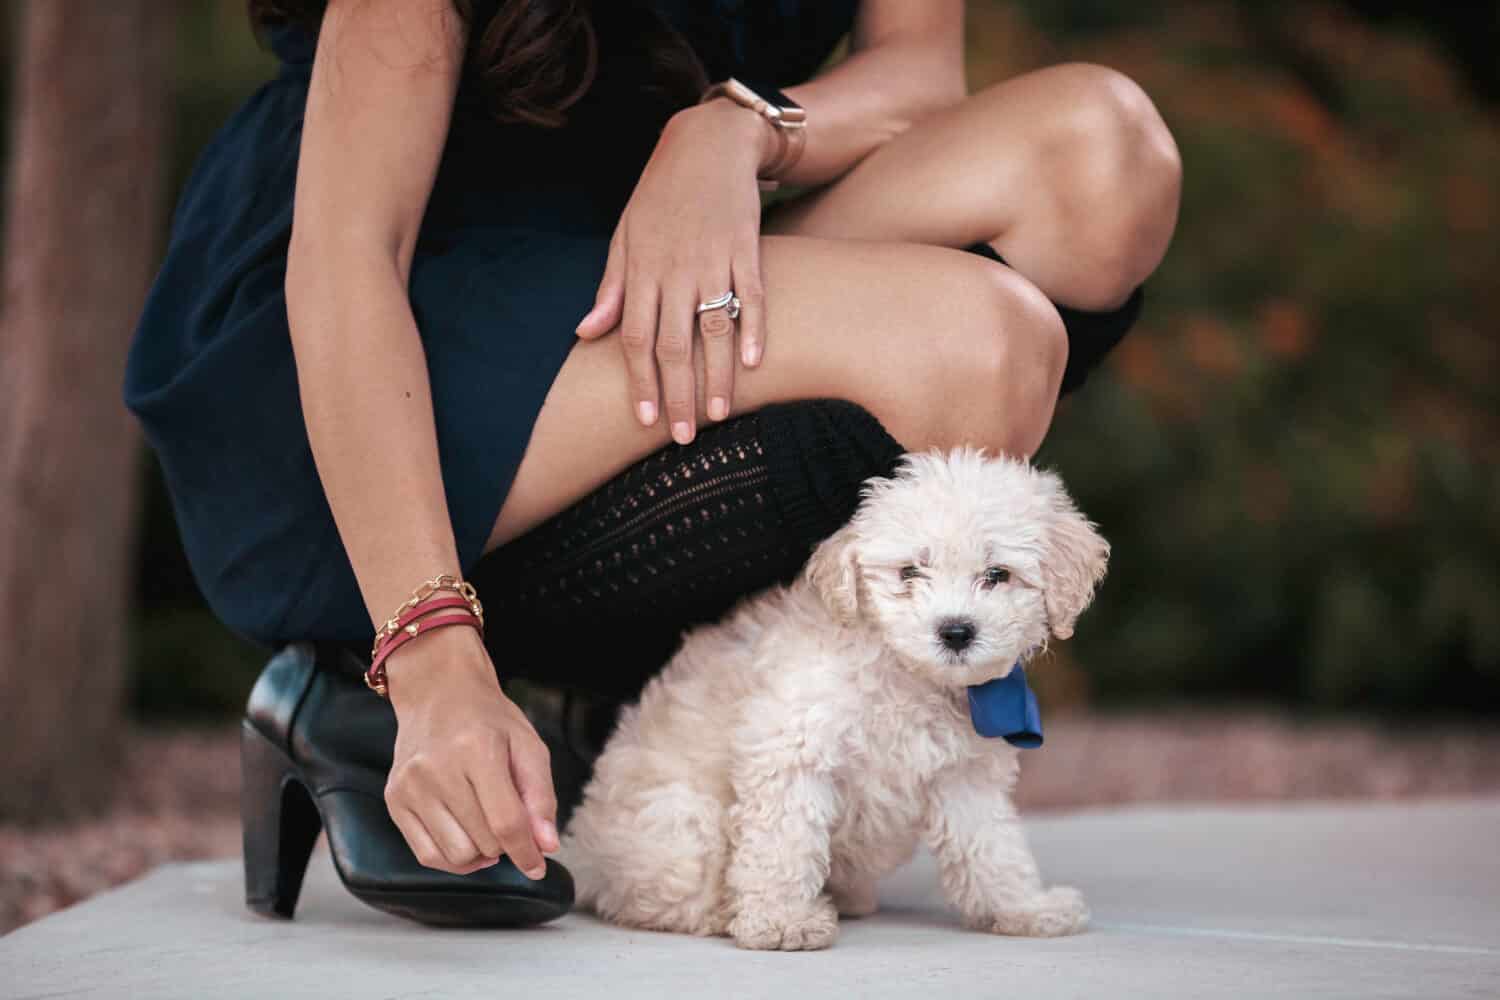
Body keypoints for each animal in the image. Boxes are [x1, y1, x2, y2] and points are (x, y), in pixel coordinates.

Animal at [558, 446, 1110, 953]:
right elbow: (785, 842)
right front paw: (781, 921)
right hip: (680, 821)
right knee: (654, 896)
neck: (906, 675)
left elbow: (992, 846)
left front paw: (1025, 908)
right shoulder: (793, 748)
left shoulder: (964, 774)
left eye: (997, 575)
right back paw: (726, 912)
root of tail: (581, 849)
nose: (956, 631)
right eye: (909, 573)